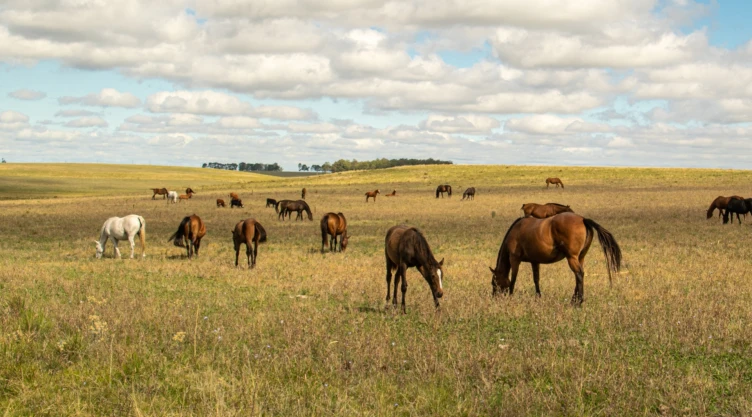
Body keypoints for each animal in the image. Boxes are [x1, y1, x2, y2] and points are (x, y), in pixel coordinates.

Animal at [490, 212, 621, 306]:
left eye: (494, 282)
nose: (495, 298)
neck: (517, 229)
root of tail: (583, 219)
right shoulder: (534, 261)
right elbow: (536, 279)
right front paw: (538, 297)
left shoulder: (514, 259)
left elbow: (513, 279)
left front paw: (511, 296)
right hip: (580, 257)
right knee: (580, 275)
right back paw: (574, 300)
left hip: (572, 258)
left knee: (579, 274)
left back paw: (578, 302)